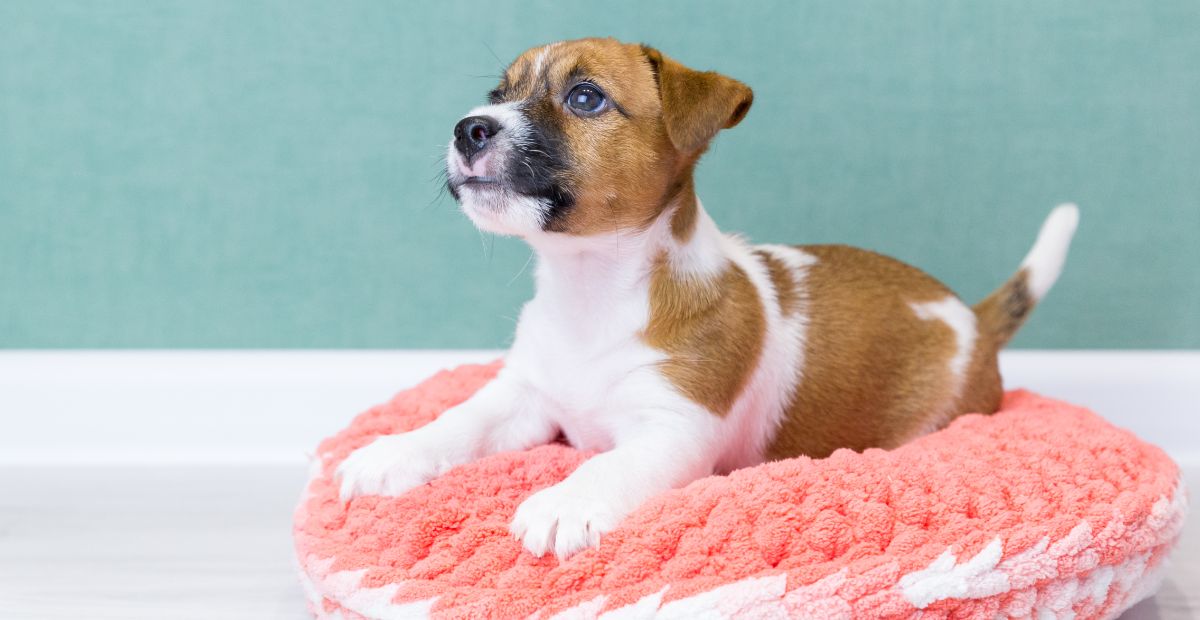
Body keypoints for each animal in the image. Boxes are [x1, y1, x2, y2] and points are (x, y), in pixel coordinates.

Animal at [336, 38, 1080, 561]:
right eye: (498, 93)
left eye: (585, 98)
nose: (469, 127)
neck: (592, 291)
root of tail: (972, 319)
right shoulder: (523, 396)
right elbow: (457, 420)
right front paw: (391, 452)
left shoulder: (675, 430)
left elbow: (610, 461)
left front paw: (566, 499)